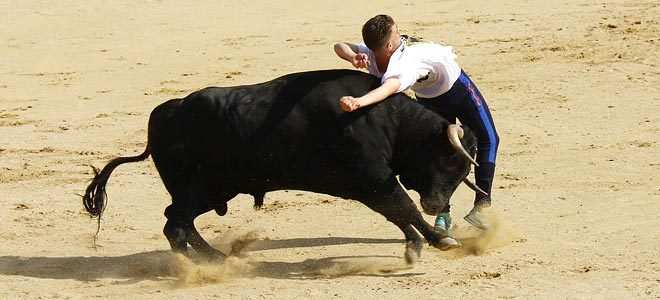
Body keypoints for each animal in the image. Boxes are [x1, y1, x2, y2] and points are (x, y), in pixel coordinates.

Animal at [82, 69, 476, 264]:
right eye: (450, 160)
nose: (438, 205)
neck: (385, 119)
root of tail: (167, 112)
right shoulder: (373, 179)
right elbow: (403, 207)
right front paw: (437, 238)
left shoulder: (369, 184)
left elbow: (397, 212)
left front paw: (421, 243)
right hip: (201, 189)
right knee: (175, 225)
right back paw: (201, 265)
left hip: (213, 191)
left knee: (177, 221)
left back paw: (215, 257)